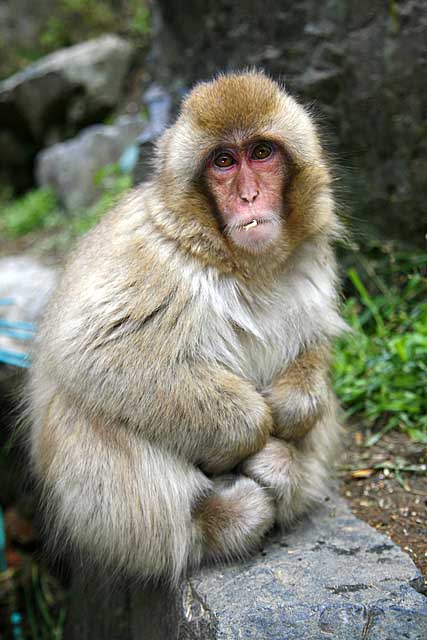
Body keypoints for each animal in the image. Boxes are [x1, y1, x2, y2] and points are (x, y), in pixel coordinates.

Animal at [28, 71, 346, 584]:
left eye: (261, 153)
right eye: (223, 162)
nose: (248, 197)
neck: (240, 263)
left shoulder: (311, 256)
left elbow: (314, 340)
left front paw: (293, 409)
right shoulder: (149, 256)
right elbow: (94, 352)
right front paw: (250, 426)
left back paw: (286, 468)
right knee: (91, 410)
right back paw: (214, 521)